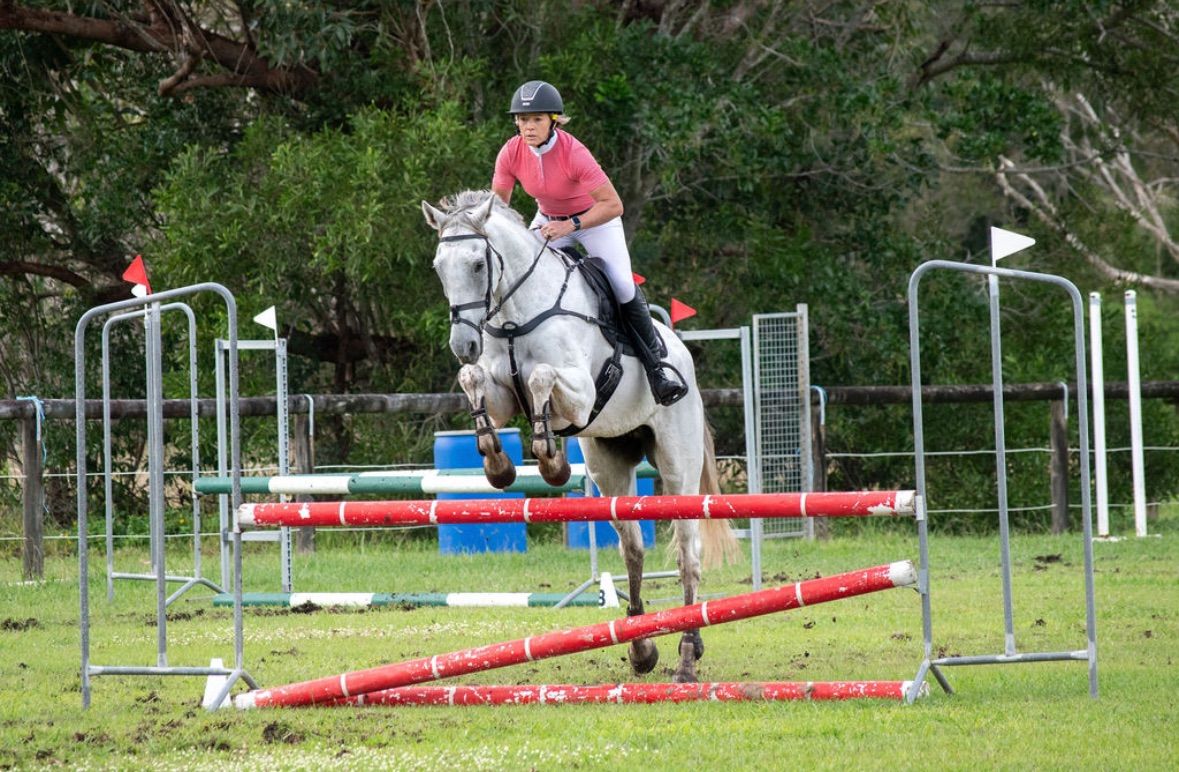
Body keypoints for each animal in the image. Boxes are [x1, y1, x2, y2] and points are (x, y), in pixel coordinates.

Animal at [424, 192, 735, 683]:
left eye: (476, 264)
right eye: (439, 266)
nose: (463, 345)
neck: (514, 317)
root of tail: (683, 354)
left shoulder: (582, 392)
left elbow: (541, 378)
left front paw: (551, 461)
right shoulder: (499, 397)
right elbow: (473, 380)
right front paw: (498, 464)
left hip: (677, 466)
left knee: (688, 554)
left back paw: (687, 654)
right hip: (609, 466)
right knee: (632, 547)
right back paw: (641, 647)